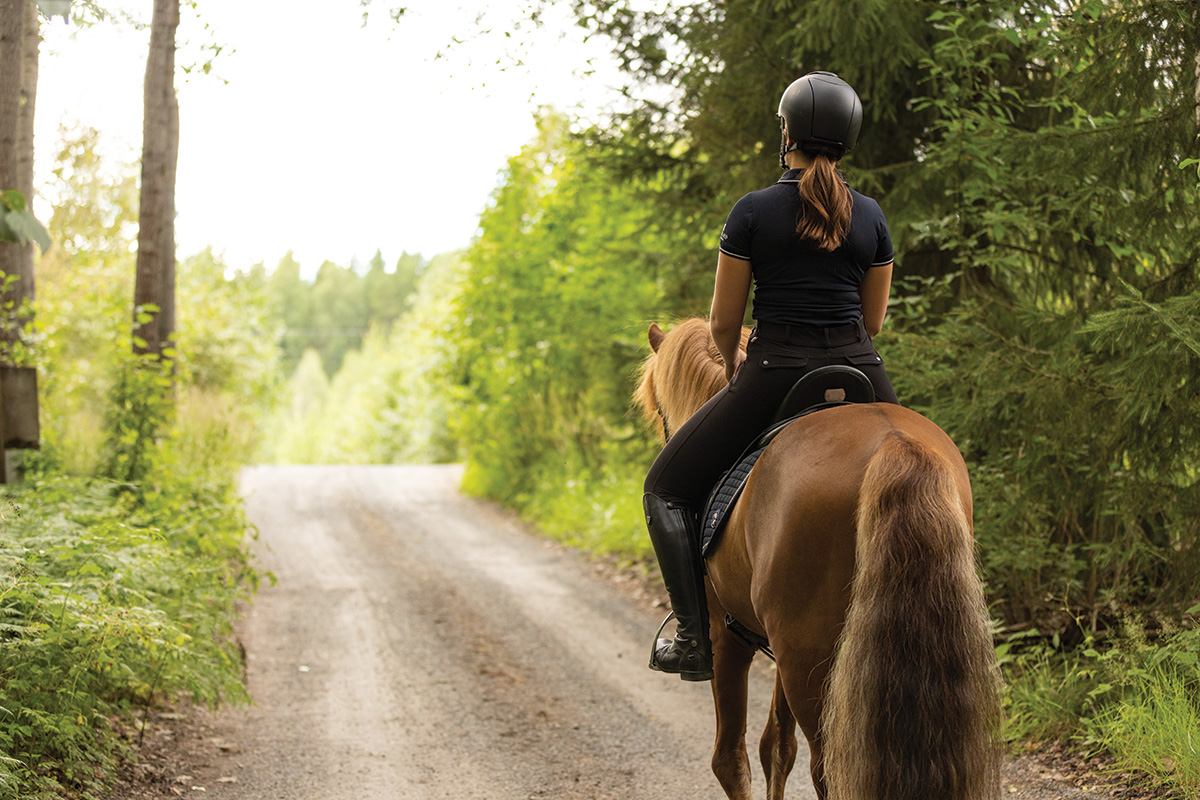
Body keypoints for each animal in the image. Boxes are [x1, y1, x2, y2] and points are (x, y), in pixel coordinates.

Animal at [638, 316, 1003, 800]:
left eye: (662, 412)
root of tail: (895, 445)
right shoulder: (772, 642)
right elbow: (776, 747)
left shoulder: (726, 635)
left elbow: (730, 758)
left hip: (807, 658)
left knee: (827, 769)